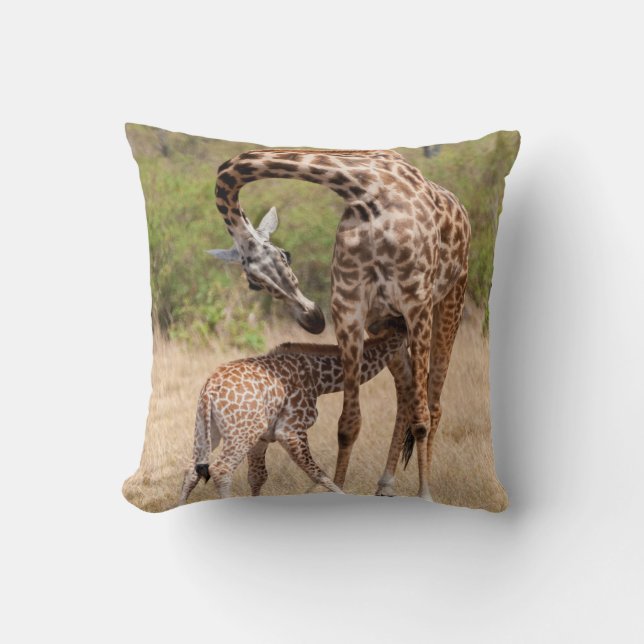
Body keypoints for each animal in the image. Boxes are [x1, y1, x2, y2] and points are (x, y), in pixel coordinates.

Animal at [178, 318, 407, 504]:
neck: (320, 379)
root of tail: (210, 390)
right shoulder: (290, 429)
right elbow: (318, 473)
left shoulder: (263, 438)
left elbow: (257, 477)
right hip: (242, 432)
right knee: (220, 469)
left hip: (207, 430)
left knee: (191, 469)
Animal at [209, 148, 470, 499]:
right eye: (253, 282)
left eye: (285, 255)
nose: (312, 319)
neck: (366, 193)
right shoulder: (350, 306)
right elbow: (348, 424)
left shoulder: (416, 301)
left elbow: (422, 417)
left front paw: (425, 495)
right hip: (385, 322)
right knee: (404, 393)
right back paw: (385, 484)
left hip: (450, 299)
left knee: (433, 402)